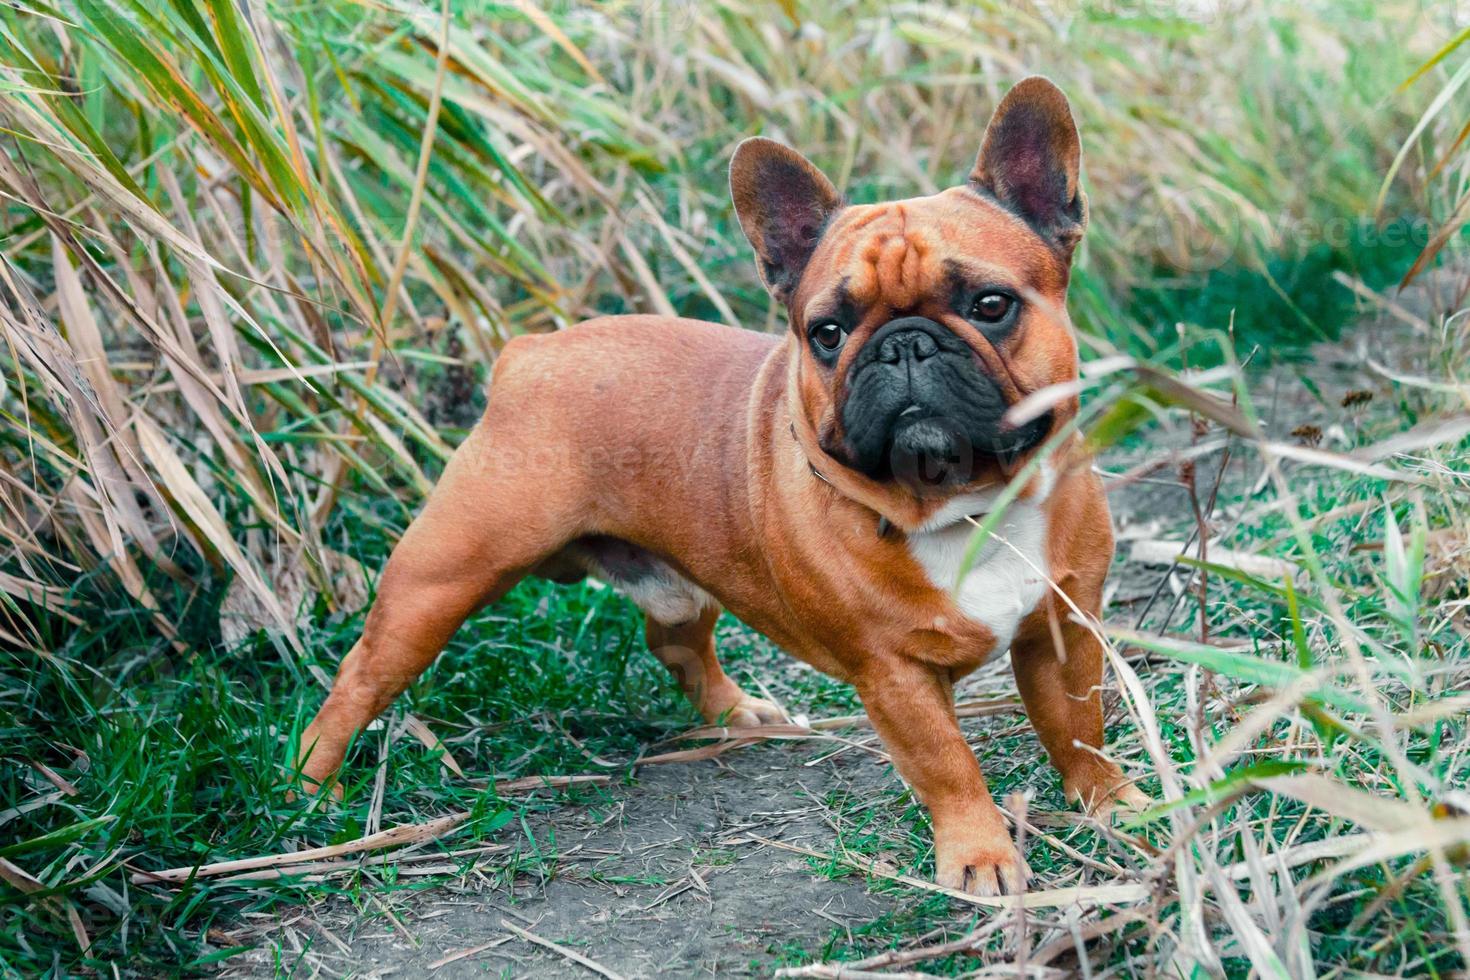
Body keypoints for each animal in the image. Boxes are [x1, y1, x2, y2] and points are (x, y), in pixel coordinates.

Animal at [295, 78, 1146, 899]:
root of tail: (527, 355)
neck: (967, 508)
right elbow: (948, 765)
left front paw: (1115, 803)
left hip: (678, 575)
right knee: (360, 678)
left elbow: (1079, 725)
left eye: (991, 305)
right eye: (827, 332)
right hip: (441, 582)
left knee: (674, 641)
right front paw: (980, 856)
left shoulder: (1063, 632)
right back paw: (314, 792)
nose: (902, 344)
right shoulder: (895, 677)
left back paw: (740, 713)